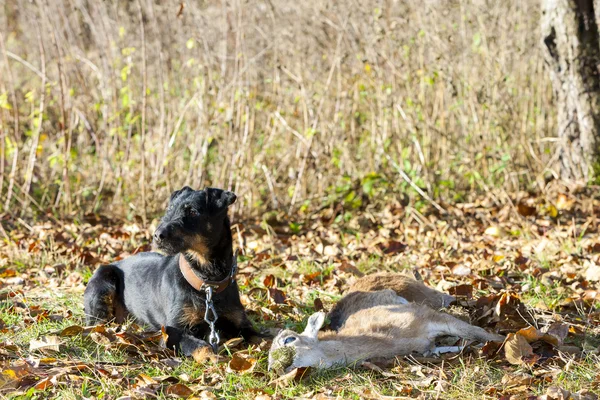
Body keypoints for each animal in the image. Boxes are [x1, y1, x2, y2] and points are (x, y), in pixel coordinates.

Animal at [84, 187, 258, 356]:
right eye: (169, 209)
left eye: (193, 212)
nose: (157, 235)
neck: (207, 282)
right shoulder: (172, 331)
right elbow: (203, 347)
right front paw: (214, 359)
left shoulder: (241, 323)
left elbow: (259, 337)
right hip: (102, 283)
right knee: (95, 324)